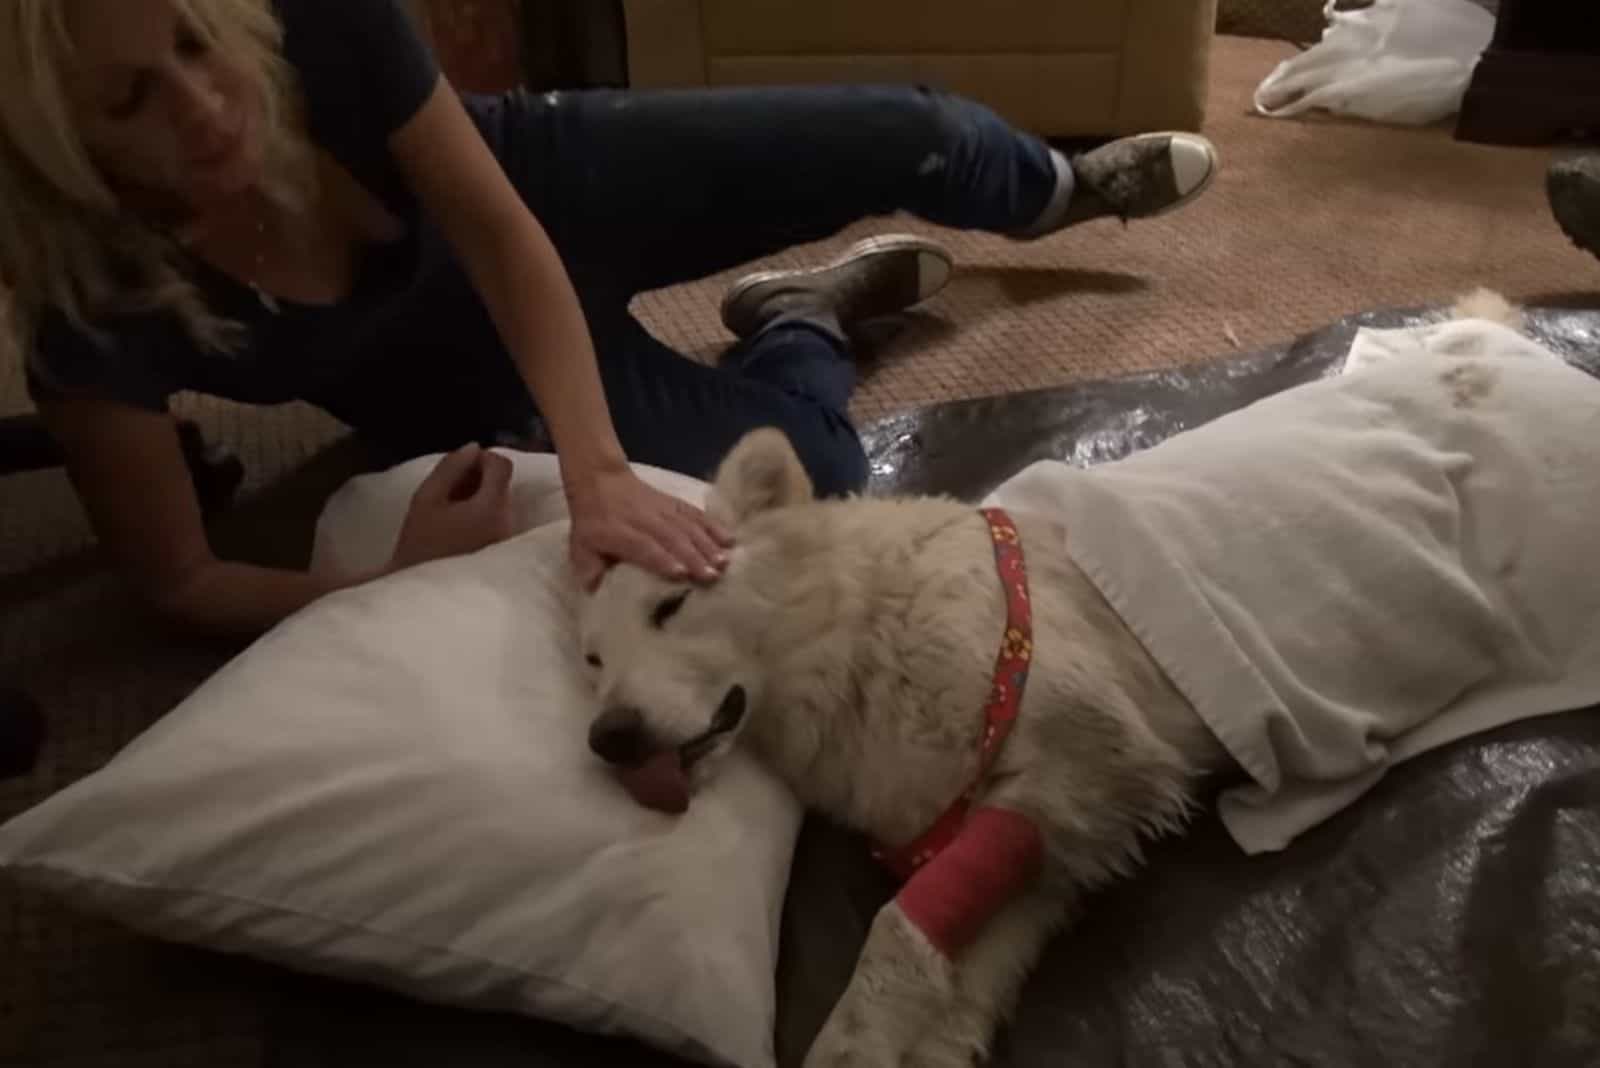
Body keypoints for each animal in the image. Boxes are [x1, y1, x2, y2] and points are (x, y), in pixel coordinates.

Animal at [582, 294, 1600, 1068]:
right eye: (592, 659)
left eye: (672, 607)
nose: (607, 739)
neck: (868, 622)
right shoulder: (1049, 836)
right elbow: (951, 965)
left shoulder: (1093, 758)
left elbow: (892, 936)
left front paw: (849, 1040)